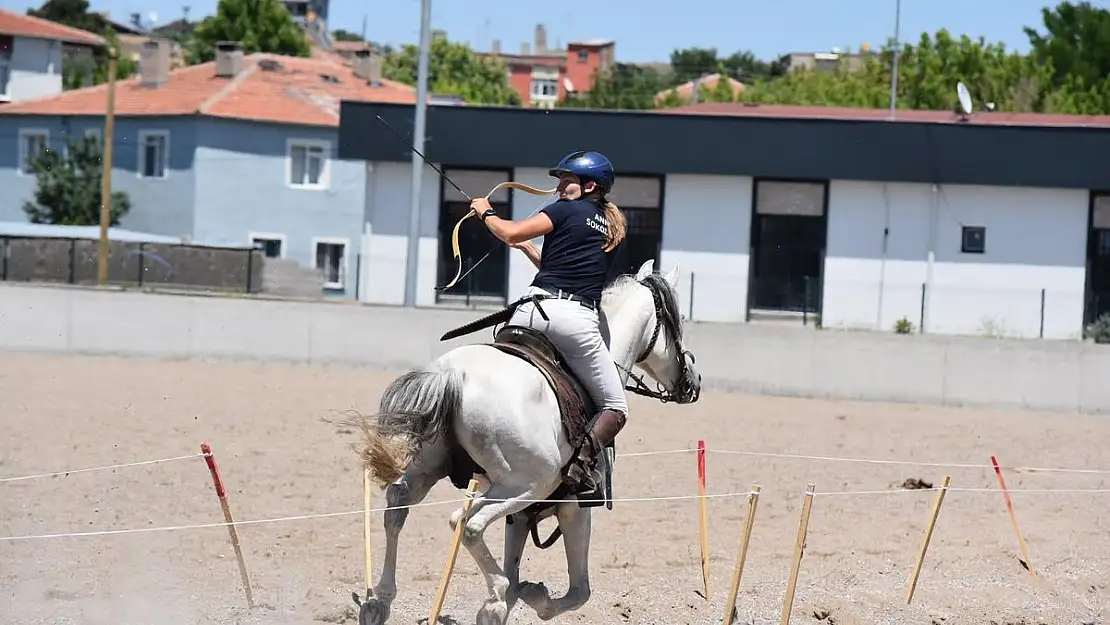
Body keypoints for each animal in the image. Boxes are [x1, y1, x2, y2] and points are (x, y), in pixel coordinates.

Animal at [346, 259, 697, 625]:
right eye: (679, 322)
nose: (693, 381)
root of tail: (452, 375)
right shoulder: (574, 507)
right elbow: (578, 591)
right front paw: (531, 597)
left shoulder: (523, 515)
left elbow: (518, 574)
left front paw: (510, 599)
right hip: (524, 485)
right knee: (467, 524)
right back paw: (492, 593)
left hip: (435, 468)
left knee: (398, 504)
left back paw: (379, 601)